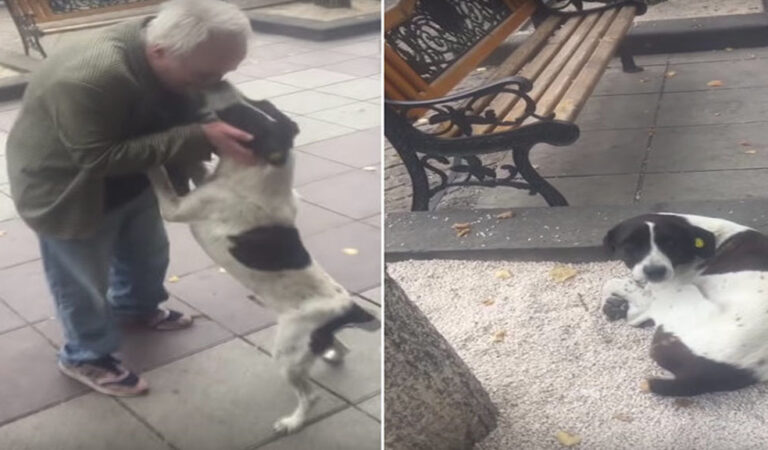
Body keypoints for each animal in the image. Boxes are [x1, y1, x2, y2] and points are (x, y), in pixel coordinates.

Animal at [146, 83, 380, 432]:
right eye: (261, 103)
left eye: (238, 117)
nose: (220, 83)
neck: (263, 169)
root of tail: (348, 307)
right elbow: (198, 170)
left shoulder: (176, 208)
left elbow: (160, 178)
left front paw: (148, 159)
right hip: (305, 343)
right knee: (337, 346)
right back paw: (330, 354)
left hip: (286, 353)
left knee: (311, 395)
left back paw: (292, 422)